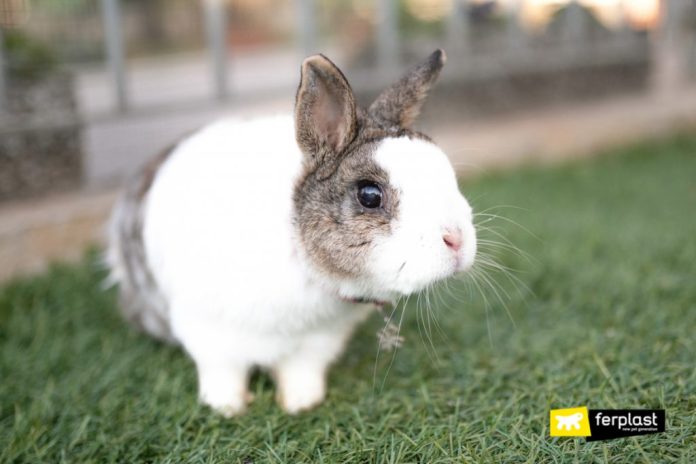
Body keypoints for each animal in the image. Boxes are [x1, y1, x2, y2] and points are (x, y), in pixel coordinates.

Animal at [107, 49, 477, 416]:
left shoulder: (316, 343)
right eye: (370, 195)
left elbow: (300, 373)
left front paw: (300, 403)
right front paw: (227, 407)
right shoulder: (210, 334)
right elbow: (223, 374)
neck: (299, 247)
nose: (457, 240)